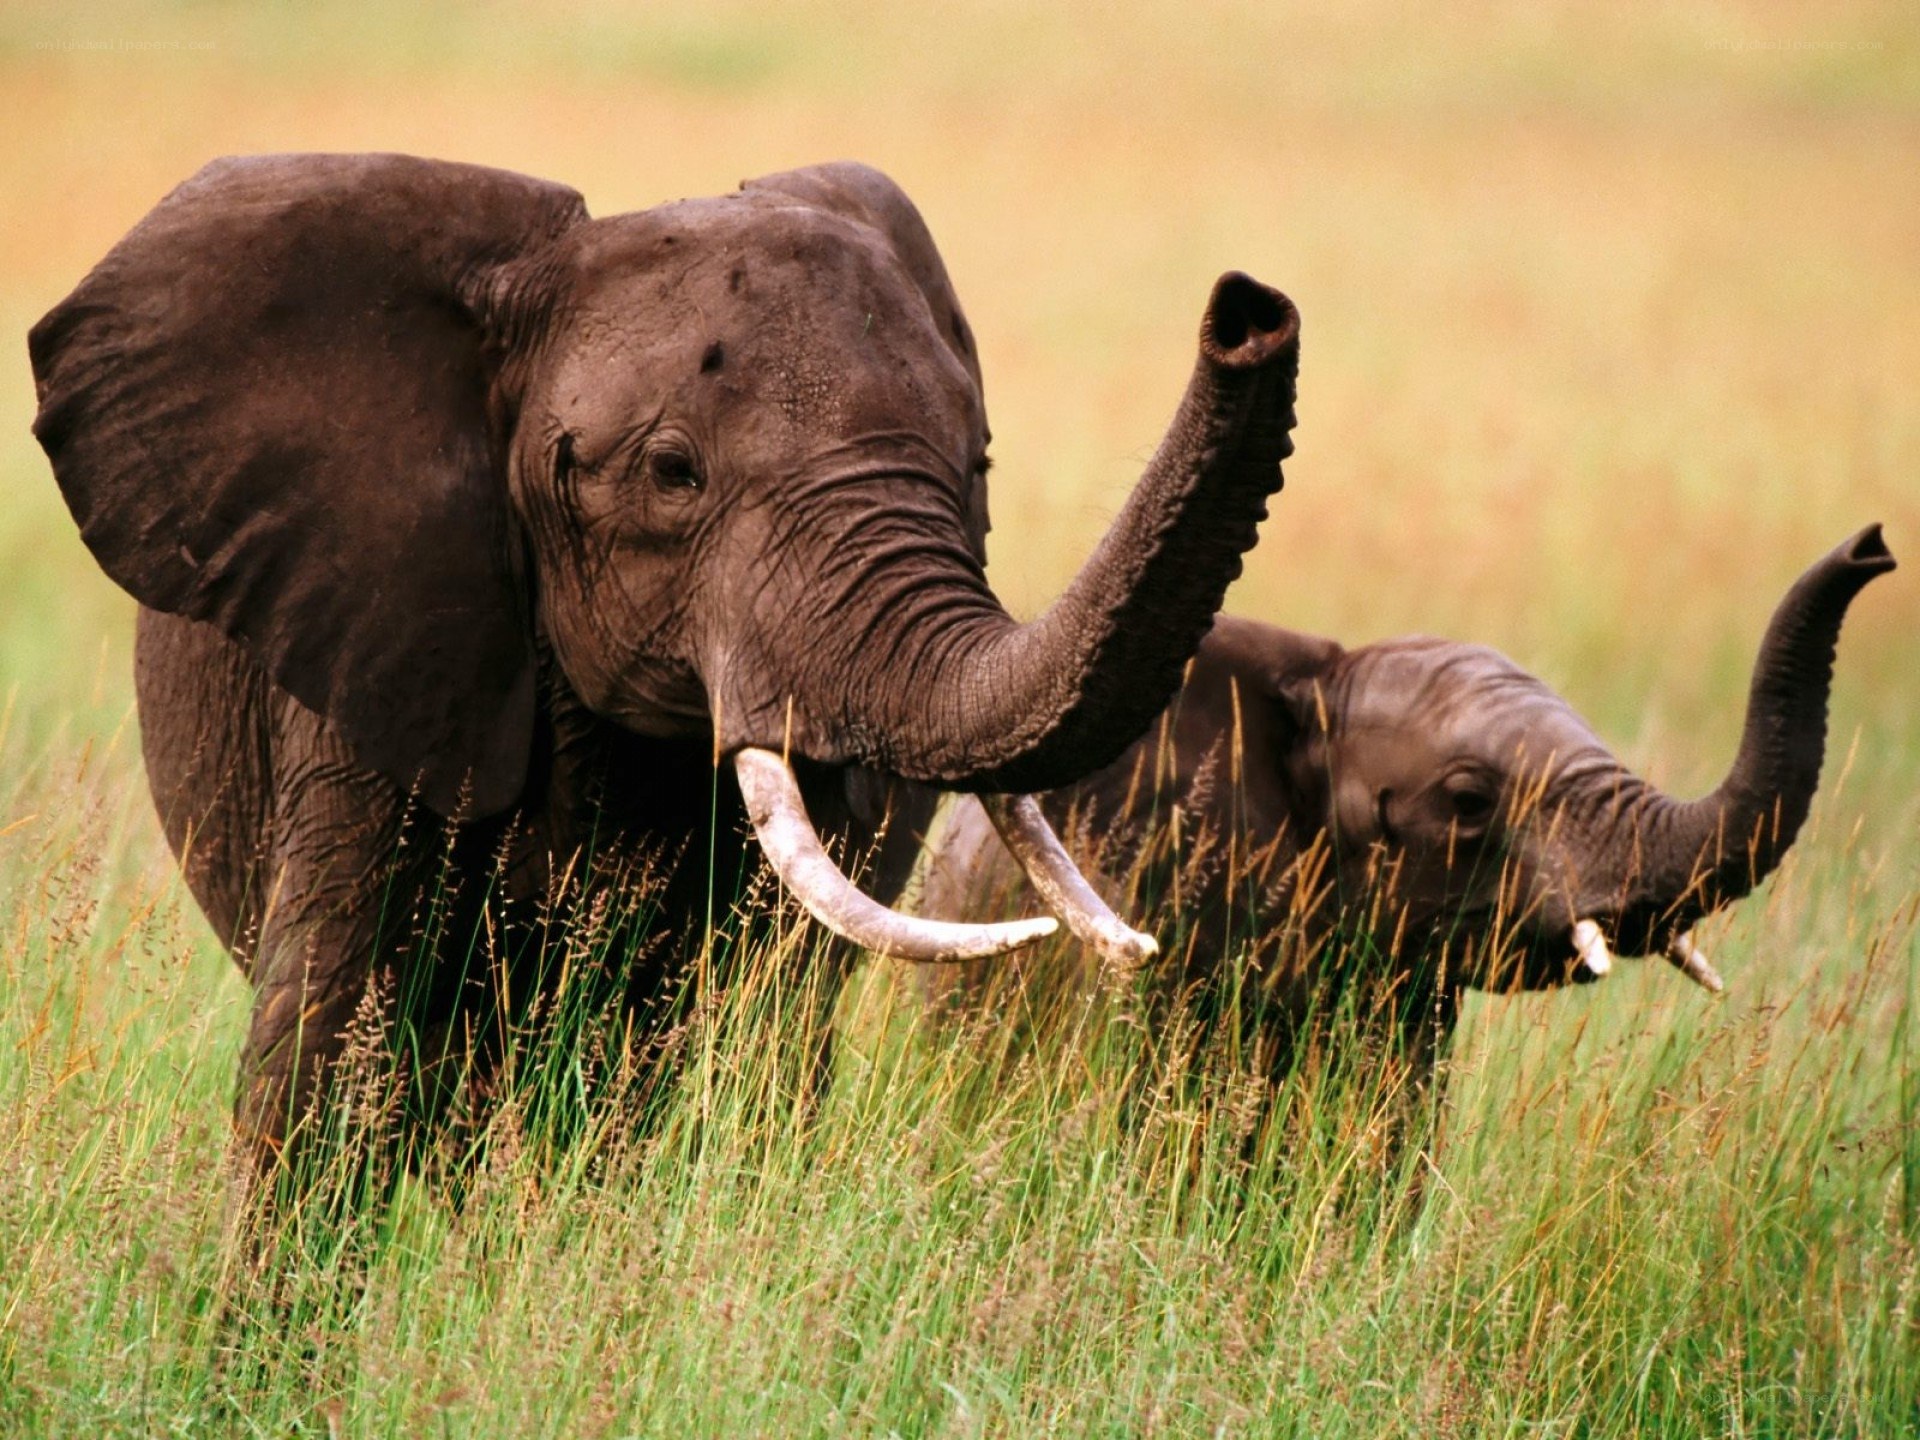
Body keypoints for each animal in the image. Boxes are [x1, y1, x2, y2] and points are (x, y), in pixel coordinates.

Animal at [30, 152, 1302, 1170]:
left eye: (976, 461)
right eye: (673, 473)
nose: (1249, 310)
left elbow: (723, 1034)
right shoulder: (378, 635)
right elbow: (332, 1041)